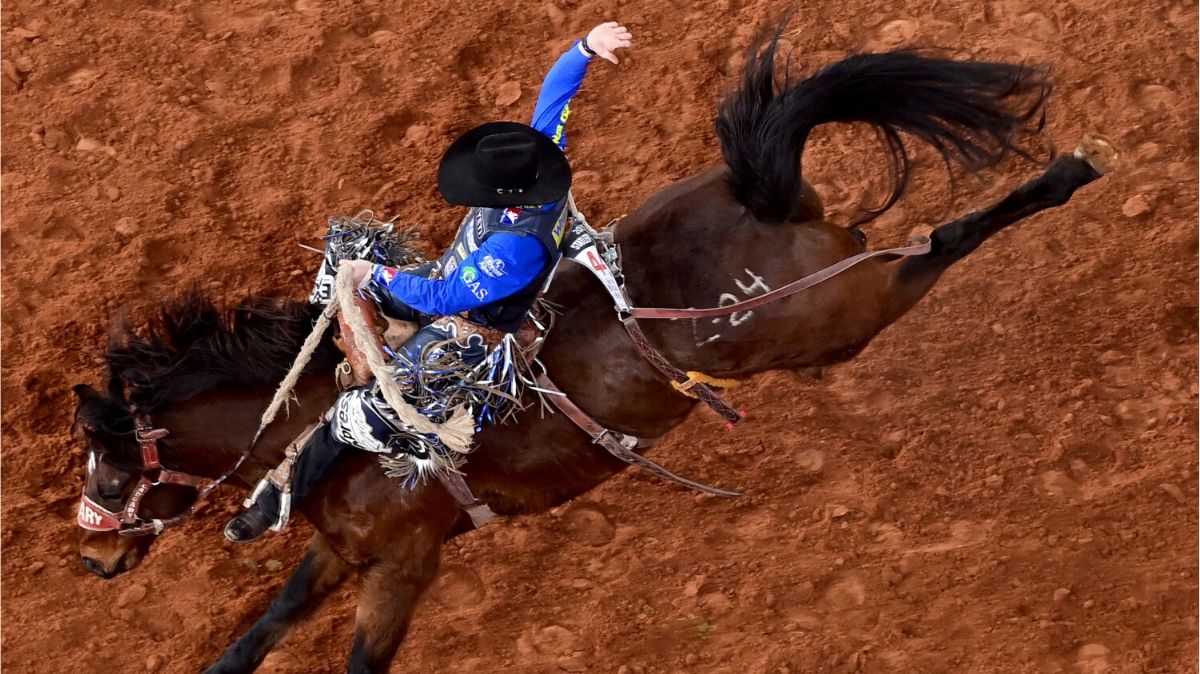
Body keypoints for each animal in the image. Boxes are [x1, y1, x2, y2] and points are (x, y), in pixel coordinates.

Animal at [70, 27, 1113, 671]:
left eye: (112, 468)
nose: (90, 560)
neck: (330, 436)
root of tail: (759, 195)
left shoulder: (406, 564)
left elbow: (360, 655)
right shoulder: (336, 552)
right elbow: (255, 637)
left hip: (843, 313)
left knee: (940, 245)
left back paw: (1068, 173)